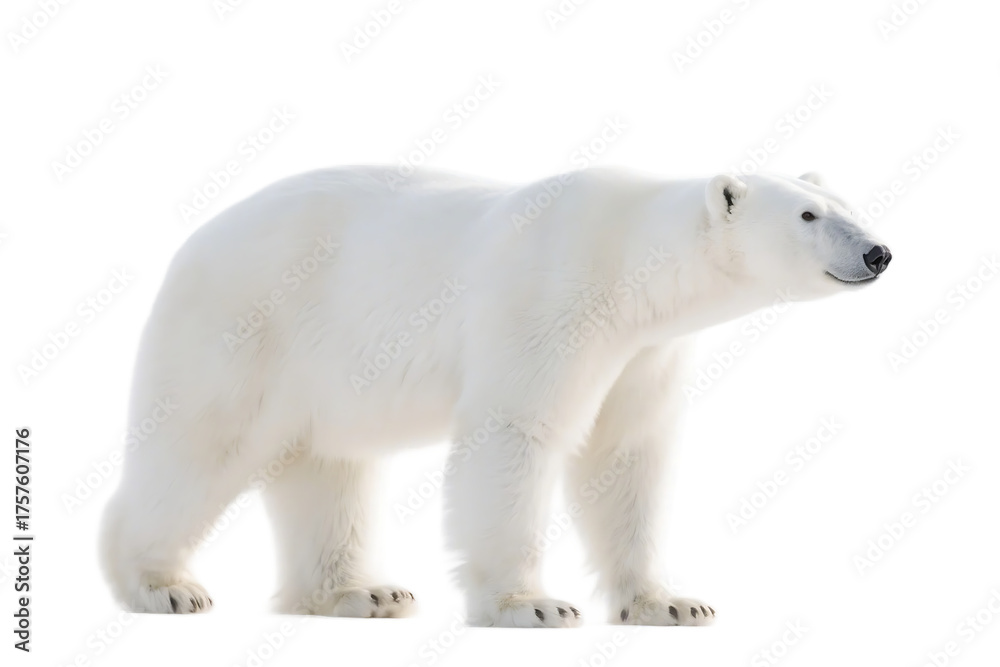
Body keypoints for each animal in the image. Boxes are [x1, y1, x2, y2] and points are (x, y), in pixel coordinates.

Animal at [99, 166, 891, 626]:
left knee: (328, 469)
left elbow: (625, 455)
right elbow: (518, 431)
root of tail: (190, 243)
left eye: (850, 203)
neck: (630, 260)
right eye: (807, 216)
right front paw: (531, 604)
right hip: (249, 327)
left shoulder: (643, 351)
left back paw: (364, 593)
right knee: (203, 441)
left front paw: (670, 602)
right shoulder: (553, 303)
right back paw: (161, 585)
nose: (878, 251)